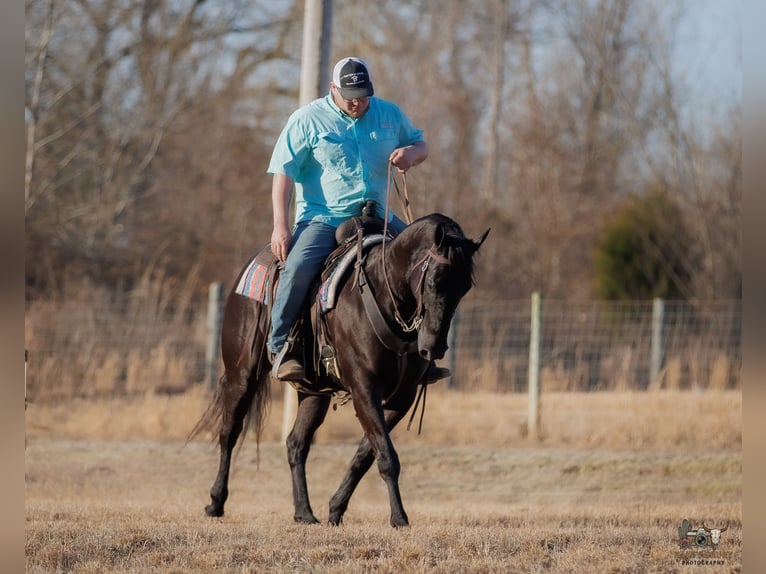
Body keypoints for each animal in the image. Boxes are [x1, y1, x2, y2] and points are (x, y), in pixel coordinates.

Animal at [190, 213, 489, 527]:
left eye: (464, 287)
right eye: (434, 280)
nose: (434, 347)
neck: (384, 296)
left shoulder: (402, 398)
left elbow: (366, 455)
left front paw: (335, 509)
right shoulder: (364, 389)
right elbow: (386, 456)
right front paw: (398, 517)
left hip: (314, 392)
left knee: (296, 444)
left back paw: (304, 512)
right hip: (242, 375)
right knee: (229, 432)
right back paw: (215, 503)